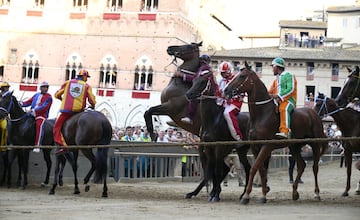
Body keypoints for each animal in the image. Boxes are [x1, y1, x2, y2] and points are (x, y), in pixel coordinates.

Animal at [184, 70, 252, 201]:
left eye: (202, 82)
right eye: (194, 81)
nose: (189, 94)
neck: (212, 119)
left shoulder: (219, 147)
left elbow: (215, 169)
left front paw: (215, 194)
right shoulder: (208, 147)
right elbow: (212, 169)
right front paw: (213, 193)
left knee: (247, 168)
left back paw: (244, 194)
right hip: (238, 150)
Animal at [225, 61, 330, 204]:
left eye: (242, 76)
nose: (226, 90)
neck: (262, 114)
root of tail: (313, 113)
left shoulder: (266, 146)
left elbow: (254, 168)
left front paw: (247, 196)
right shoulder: (255, 147)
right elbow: (261, 170)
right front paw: (263, 194)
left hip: (314, 144)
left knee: (314, 167)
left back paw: (317, 193)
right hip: (294, 146)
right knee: (301, 165)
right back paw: (295, 193)